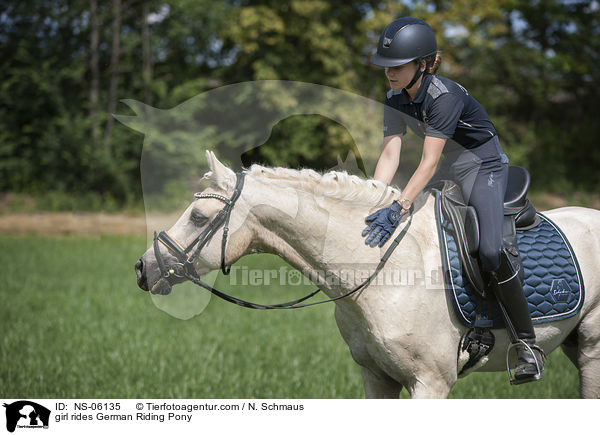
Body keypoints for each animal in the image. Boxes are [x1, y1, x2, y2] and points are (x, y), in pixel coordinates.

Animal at [135, 152, 600, 400]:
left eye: (198, 217)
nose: (144, 268)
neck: (381, 272)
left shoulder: (431, 383)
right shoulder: (377, 377)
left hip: (592, 348)